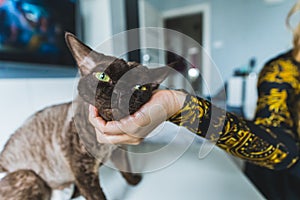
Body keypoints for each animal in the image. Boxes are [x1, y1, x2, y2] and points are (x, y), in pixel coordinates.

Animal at [0, 32, 171, 199]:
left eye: (139, 87)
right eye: (102, 76)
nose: (121, 91)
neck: (106, 145)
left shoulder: (118, 150)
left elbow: (125, 168)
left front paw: (135, 181)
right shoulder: (84, 173)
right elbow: (97, 196)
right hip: (29, 176)